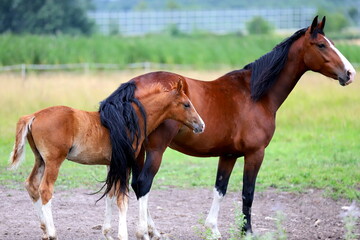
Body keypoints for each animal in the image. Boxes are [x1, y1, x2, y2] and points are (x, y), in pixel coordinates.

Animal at [8, 79, 204, 240]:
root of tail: (33, 116)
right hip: (54, 161)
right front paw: (123, 235)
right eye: (186, 104)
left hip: (40, 159)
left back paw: (43, 229)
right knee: (45, 189)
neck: (127, 121)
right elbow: (122, 199)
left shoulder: (113, 165)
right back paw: (51, 233)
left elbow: (110, 195)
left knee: (31, 185)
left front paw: (107, 232)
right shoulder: (125, 165)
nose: (201, 125)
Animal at [109, 15, 354, 239]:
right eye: (321, 45)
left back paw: (153, 230)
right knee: (144, 184)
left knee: (136, 185)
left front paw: (213, 229)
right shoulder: (255, 153)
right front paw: (248, 231)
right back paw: (144, 232)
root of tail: (133, 85)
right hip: (155, 150)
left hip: (139, 151)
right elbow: (248, 192)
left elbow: (220, 189)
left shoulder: (228, 155)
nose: (350, 73)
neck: (255, 95)